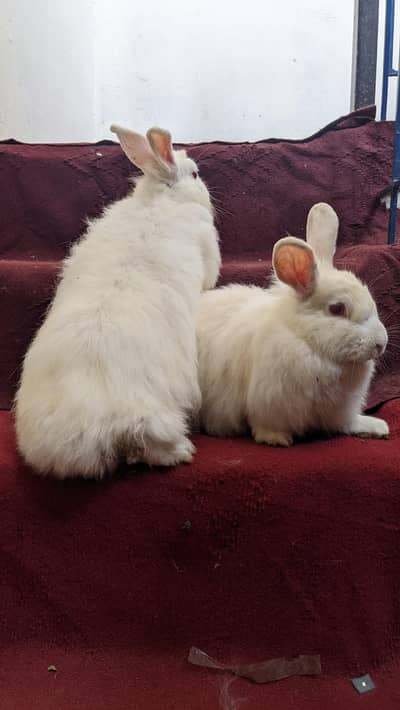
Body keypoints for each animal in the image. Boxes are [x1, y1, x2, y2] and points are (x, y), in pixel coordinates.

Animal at [15, 125, 221, 478]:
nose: (206, 188)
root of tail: (89, 429)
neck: (160, 198)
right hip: (155, 415)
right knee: (152, 444)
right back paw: (181, 453)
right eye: (194, 174)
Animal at [197, 202, 389, 446]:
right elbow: (265, 425)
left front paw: (374, 426)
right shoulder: (269, 401)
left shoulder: (339, 410)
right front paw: (277, 439)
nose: (381, 343)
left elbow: (347, 423)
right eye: (337, 309)